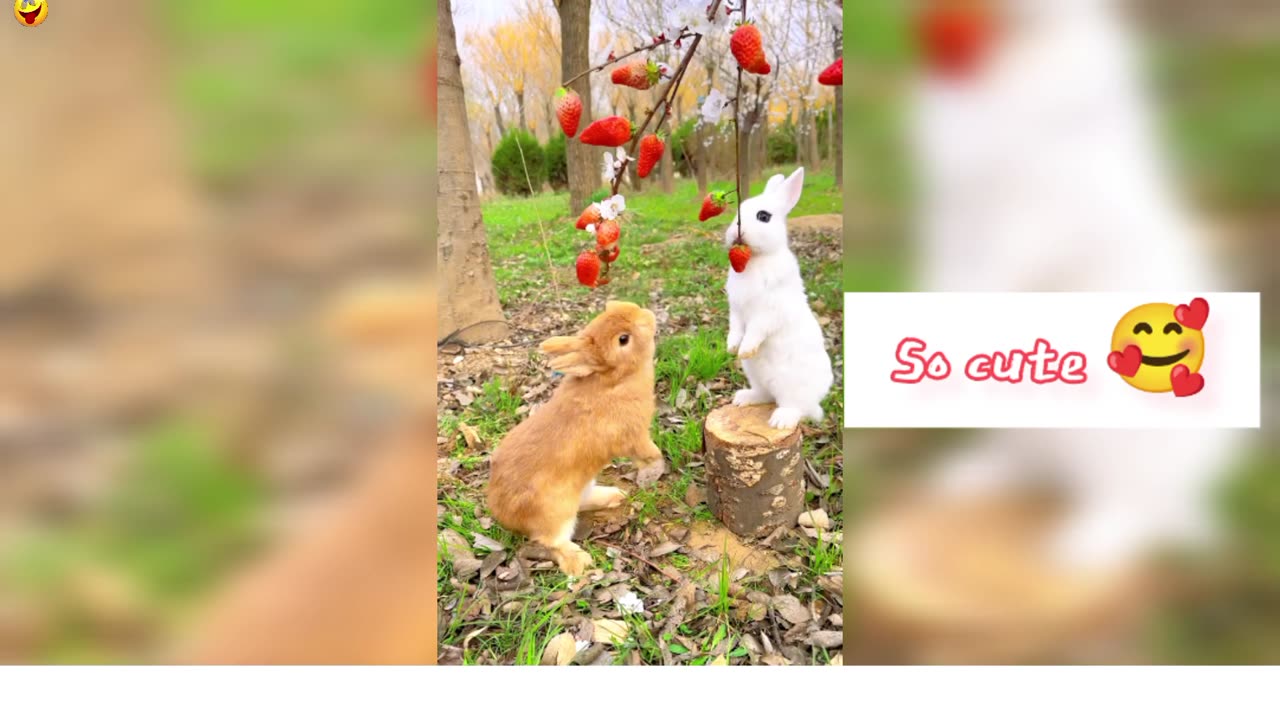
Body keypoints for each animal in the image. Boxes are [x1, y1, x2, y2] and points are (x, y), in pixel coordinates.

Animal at [483, 299, 665, 573]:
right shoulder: (634, 436)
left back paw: (614, 496)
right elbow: (646, 452)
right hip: (556, 512)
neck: (613, 381)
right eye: (623, 339)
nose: (647, 314)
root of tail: (501, 512)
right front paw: (657, 464)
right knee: (551, 541)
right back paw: (579, 562)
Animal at [727, 165, 834, 427]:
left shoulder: (768, 312)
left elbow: (755, 330)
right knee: (765, 395)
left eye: (763, 216)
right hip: (756, 376)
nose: (736, 230)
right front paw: (732, 348)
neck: (756, 260)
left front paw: (745, 349)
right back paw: (743, 398)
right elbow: (735, 329)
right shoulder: (736, 311)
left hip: (793, 387)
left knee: (797, 408)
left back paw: (780, 421)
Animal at [911, 0, 1249, 568]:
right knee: (1033, 467)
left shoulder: (1040, 212)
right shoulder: (958, 217)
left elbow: (1011, 261)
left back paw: (1085, 546)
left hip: (1120, 446)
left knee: (1134, 505)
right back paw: (972, 478)